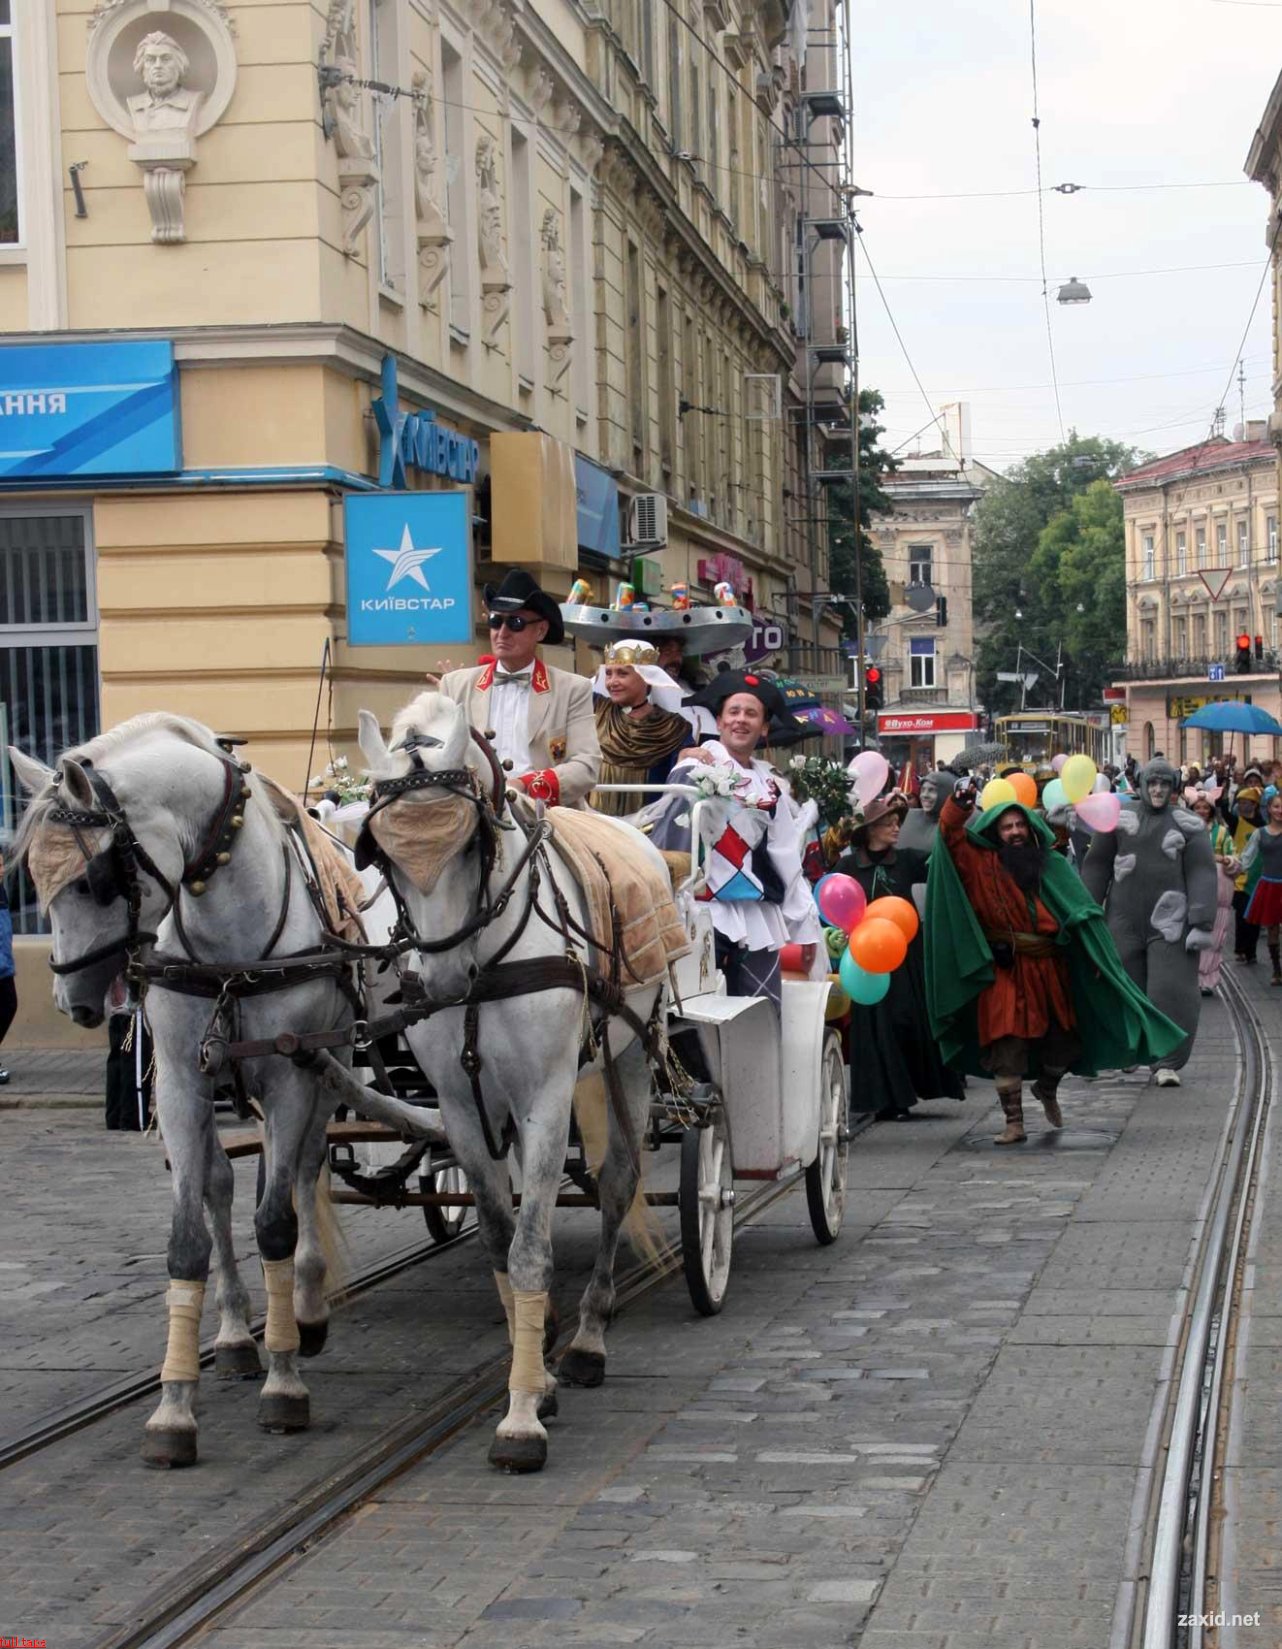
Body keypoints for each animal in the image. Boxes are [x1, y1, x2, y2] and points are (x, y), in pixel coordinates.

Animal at [12, 715, 369, 1464]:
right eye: (31, 876)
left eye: (93, 880)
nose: (71, 1001)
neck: (229, 944)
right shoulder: (179, 1079)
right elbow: (188, 1235)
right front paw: (174, 1406)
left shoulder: (290, 1075)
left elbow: (276, 1222)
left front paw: (284, 1383)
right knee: (223, 1184)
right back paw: (235, 1335)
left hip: (330, 1068)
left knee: (302, 1172)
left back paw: (306, 1308)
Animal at [354, 689, 666, 1477]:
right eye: (383, 858)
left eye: (470, 845)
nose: (435, 982)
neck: (480, 958)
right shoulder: (464, 1109)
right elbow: (502, 1236)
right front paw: (534, 1378)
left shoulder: (546, 1097)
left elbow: (531, 1251)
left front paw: (522, 1416)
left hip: (629, 1053)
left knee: (617, 1183)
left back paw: (586, 1339)